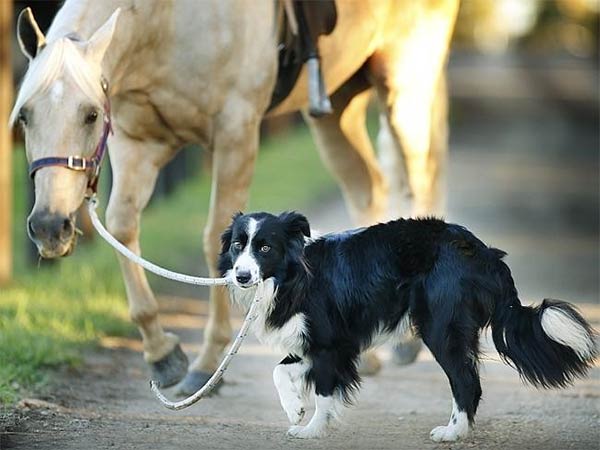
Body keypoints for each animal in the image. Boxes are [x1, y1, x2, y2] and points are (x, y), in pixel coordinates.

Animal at [10, 0, 454, 418]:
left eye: (90, 114)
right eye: (25, 116)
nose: (48, 226)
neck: (167, 21)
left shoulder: (235, 134)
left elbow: (217, 243)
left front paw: (207, 367)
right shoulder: (137, 142)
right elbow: (122, 229)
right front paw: (162, 355)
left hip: (405, 83)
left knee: (419, 180)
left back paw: (407, 342)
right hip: (337, 106)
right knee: (368, 188)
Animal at [218, 213, 596, 442]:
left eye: (265, 247)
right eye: (238, 245)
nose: (241, 275)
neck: (291, 277)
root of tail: (483, 252)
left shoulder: (330, 343)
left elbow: (324, 391)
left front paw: (312, 429)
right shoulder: (318, 343)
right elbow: (279, 371)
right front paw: (294, 408)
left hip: (440, 325)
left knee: (466, 381)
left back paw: (452, 433)